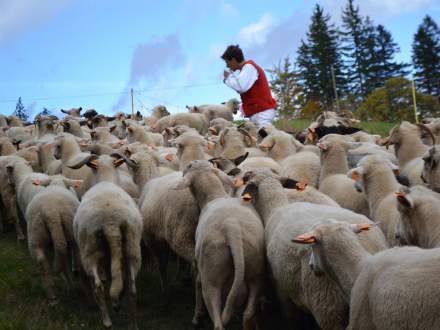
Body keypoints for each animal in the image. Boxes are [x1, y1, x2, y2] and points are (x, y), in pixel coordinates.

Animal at [24, 175, 81, 304]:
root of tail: (50, 211)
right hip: (69, 231)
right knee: (68, 256)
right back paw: (71, 286)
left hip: (35, 233)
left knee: (42, 261)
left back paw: (52, 297)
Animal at [68, 153, 143, 328]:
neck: (106, 179)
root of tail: (110, 221)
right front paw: (117, 300)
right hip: (132, 247)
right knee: (132, 288)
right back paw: (132, 323)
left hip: (90, 250)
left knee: (98, 287)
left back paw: (107, 321)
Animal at [174, 161, 264, 330]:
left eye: (189, 166)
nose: (190, 163)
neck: (214, 196)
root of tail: (231, 227)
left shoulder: (199, 265)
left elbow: (197, 282)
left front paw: (197, 317)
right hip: (255, 271)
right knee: (248, 313)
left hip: (212, 276)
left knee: (218, 322)